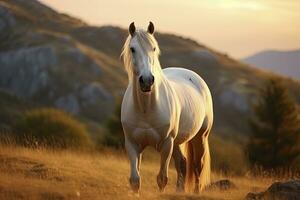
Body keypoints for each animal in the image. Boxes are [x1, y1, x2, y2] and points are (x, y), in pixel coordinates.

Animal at [120, 21, 213, 194]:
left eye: (154, 48)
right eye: (132, 49)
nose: (147, 80)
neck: (146, 108)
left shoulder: (166, 144)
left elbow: (162, 179)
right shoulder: (132, 144)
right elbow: (135, 180)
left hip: (200, 137)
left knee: (198, 166)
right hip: (178, 142)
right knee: (183, 164)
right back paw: (179, 192)